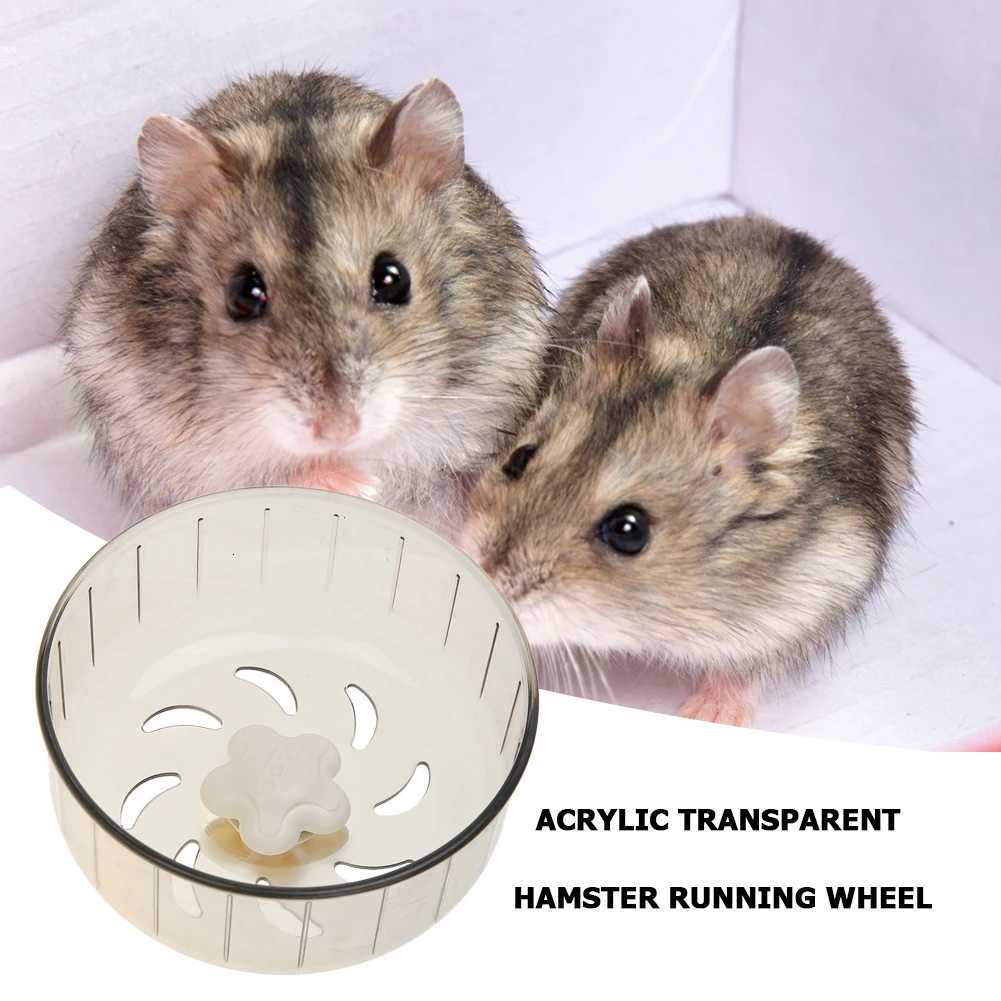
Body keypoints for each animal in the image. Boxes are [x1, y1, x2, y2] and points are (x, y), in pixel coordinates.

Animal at [462, 216, 916, 725]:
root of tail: (797, 234)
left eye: (629, 531)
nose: (486, 575)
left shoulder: (809, 599)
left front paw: (706, 716)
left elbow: (743, 667)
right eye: (518, 459)